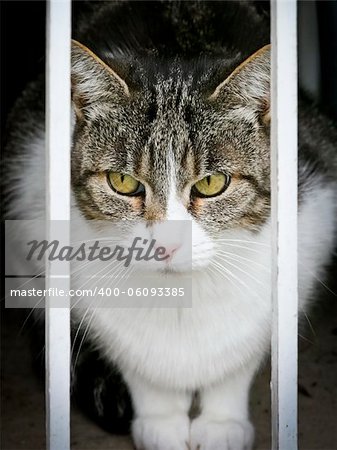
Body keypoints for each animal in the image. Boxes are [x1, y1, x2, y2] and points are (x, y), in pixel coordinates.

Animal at [4, 0, 336, 450]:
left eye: (211, 183)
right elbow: (134, 359)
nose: (165, 245)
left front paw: (221, 422)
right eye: (123, 182)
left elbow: (241, 356)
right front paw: (160, 420)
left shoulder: (310, 226)